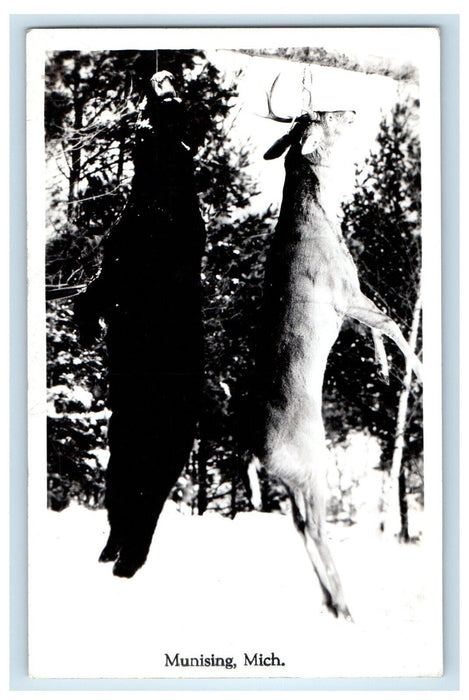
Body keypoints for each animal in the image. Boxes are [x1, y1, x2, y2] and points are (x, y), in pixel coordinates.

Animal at [246, 77, 423, 620]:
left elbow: (379, 330)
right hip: (313, 466)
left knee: (301, 527)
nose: (353, 110)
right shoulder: (343, 292)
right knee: (318, 528)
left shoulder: (351, 299)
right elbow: (392, 322)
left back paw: (331, 601)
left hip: (294, 481)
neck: (319, 219)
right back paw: (344, 604)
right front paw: (421, 374)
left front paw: (385, 371)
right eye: (324, 115)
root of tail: (256, 454)